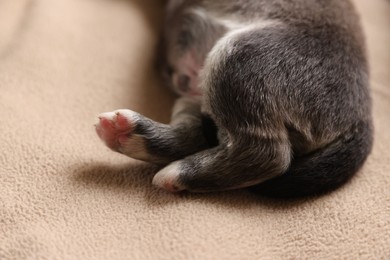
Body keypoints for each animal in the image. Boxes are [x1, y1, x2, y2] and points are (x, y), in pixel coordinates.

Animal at [94, 0, 372, 198]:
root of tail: (362, 118)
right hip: (198, 94)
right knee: (193, 135)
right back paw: (130, 135)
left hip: (240, 58)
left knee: (267, 153)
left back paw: (178, 172)